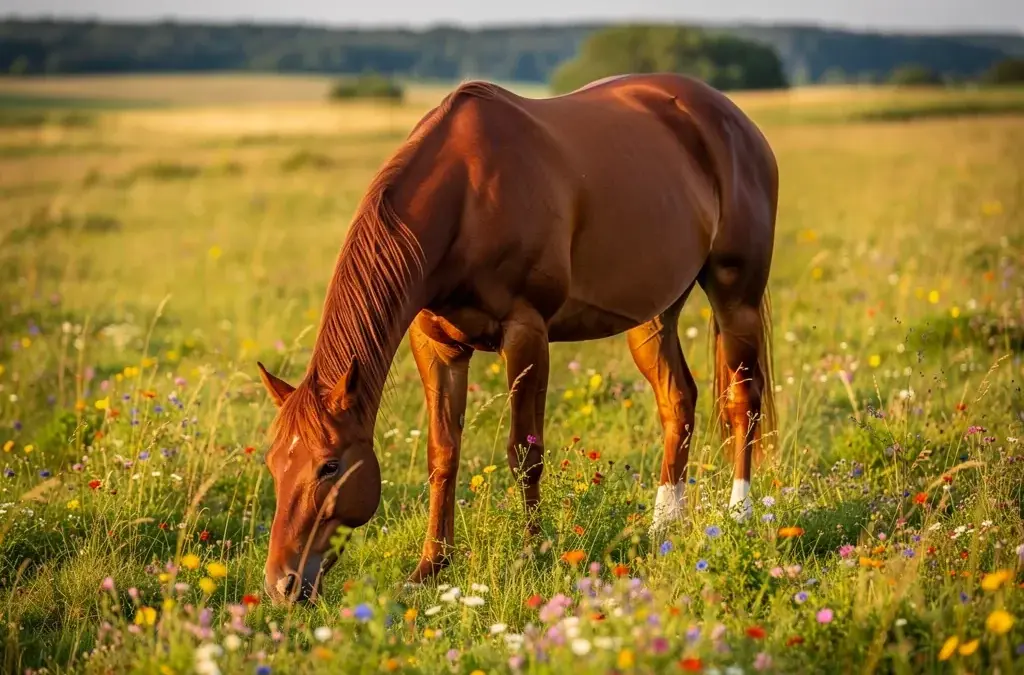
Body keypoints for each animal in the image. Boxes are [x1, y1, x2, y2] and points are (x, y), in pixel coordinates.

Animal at [256, 72, 778, 604]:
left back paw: (740, 516)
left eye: (329, 466)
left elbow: (525, 454)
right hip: (653, 315)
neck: (465, 199)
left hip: (736, 295)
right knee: (678, 400)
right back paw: (662, 528)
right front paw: (429, 568)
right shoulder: (436, 346)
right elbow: (443, 454)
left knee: (743, 399)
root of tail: (731, 118)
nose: (281, 584)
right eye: (274, 464)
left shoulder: (526, 334)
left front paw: (532, 554)